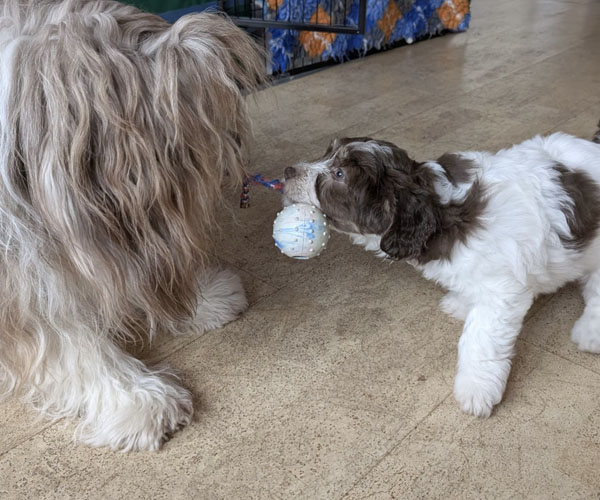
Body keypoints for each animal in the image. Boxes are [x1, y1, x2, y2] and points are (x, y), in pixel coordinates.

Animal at [283, 125, 600, 417]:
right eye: (327, 151)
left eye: (339, 175)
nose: (287, 171)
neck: (440, 211)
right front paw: (461, 302)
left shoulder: (500, 293)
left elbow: (479, 340)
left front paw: (476, 389)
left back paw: (590, 333)